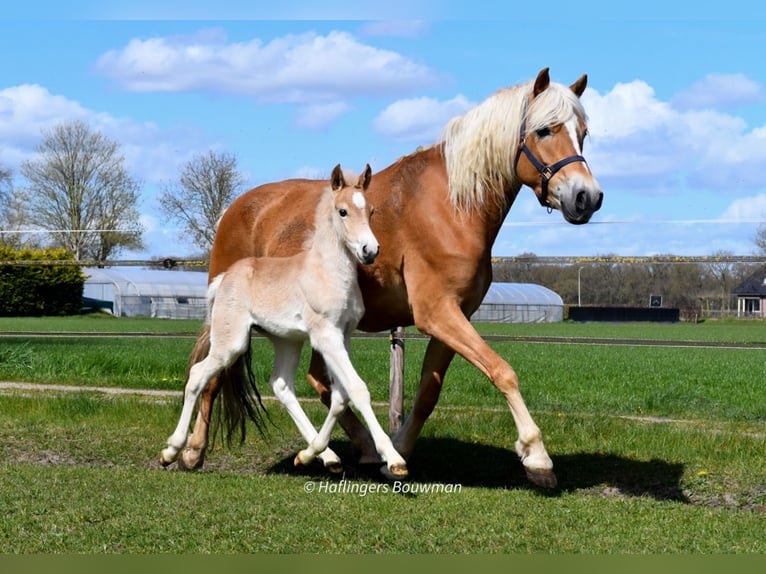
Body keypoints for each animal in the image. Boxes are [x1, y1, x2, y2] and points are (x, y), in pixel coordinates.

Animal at [160, 164, 409, 479]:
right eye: (342, 211)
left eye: (372, 210)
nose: (370, 250)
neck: (326, 271)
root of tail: (224, 278)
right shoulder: (326, 336)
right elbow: (356, 389)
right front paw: (394, 459)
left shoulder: (344, 335)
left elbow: (340, 397)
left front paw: (310, 454)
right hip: (231, 343)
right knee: (197, 375)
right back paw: (172, 451)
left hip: (286, 341)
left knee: (280, 384)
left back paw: (324, 456)